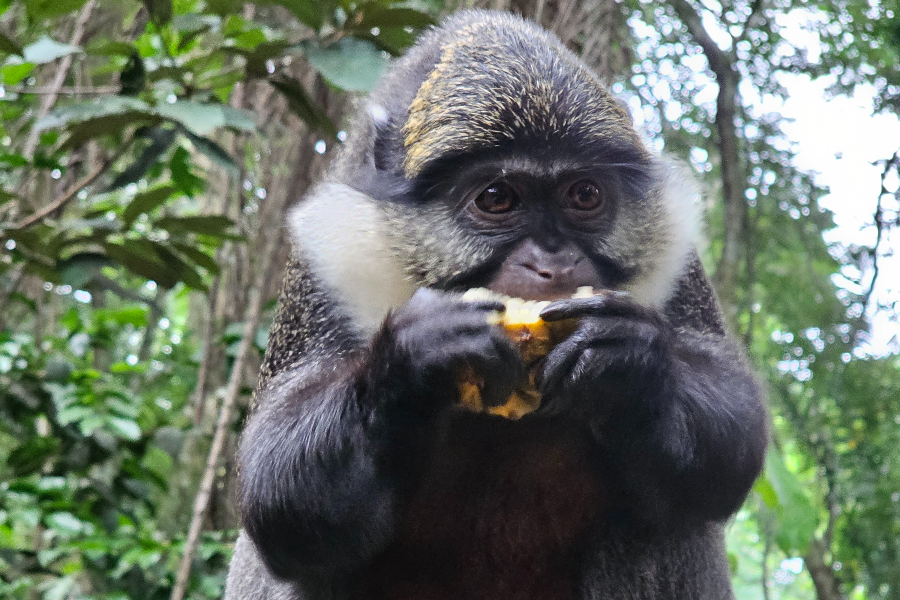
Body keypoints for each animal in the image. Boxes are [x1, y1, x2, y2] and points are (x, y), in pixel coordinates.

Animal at [223, 9, 768, 600]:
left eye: (584, 195)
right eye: (496, 198)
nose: (553, 264)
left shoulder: (678, 256)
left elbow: (732, 438)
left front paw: (629, 360)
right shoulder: (319, 264)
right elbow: (277, 488)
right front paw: (416, 359)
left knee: (665, 521)